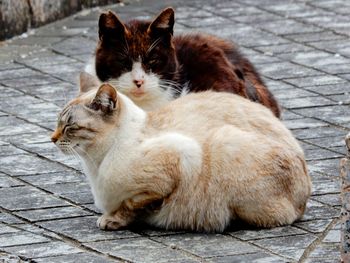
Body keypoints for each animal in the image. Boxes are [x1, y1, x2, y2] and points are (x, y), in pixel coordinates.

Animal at [50, 72, 310, 233]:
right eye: (57, 122)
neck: (95, 165)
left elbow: (131, 205)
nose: (52, 139)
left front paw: (112, 220)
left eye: (70, 126)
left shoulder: (177, 160)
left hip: (225, 142)